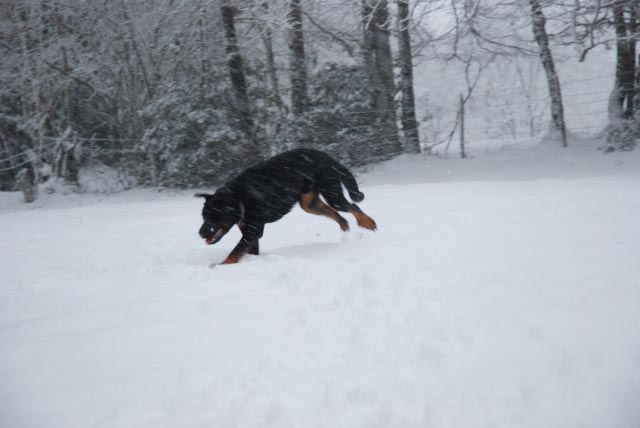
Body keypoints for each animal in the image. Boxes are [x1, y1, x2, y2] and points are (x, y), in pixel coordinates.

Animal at [195, 148, 376, 264]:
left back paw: (367, 222)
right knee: (339, 216)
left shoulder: (252, 231)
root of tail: (326, 156)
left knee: (352, 206)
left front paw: (219, 266)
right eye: (203, 216)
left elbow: (233, 254)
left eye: (215, 216)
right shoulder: (251, 233)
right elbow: (246, 252)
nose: (201, 233)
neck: (240, 199)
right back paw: (346, 232)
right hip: (309, 203)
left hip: (332, 194)